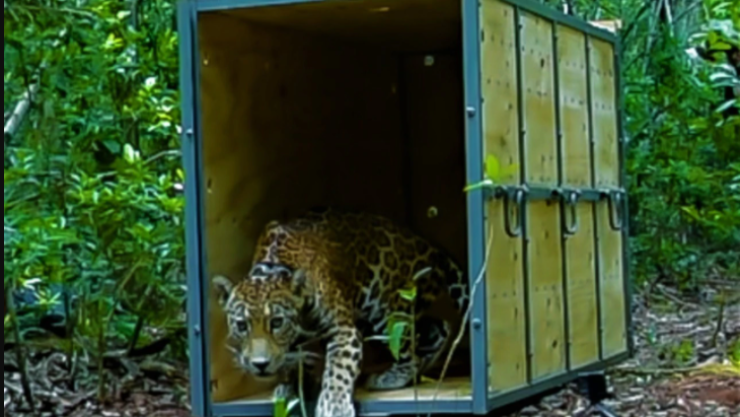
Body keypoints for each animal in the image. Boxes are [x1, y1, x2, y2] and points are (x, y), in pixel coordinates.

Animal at [212, 207, 470, 417]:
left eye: (276, 322)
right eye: (242, 325)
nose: (260, 364)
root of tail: (431, 248)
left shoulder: (344, 331)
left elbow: (337, 370)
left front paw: (334, 406)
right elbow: (295, 359)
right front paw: (292, 387)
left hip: (387, 312)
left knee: (409, 348)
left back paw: (392, 377)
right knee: (439, 328)